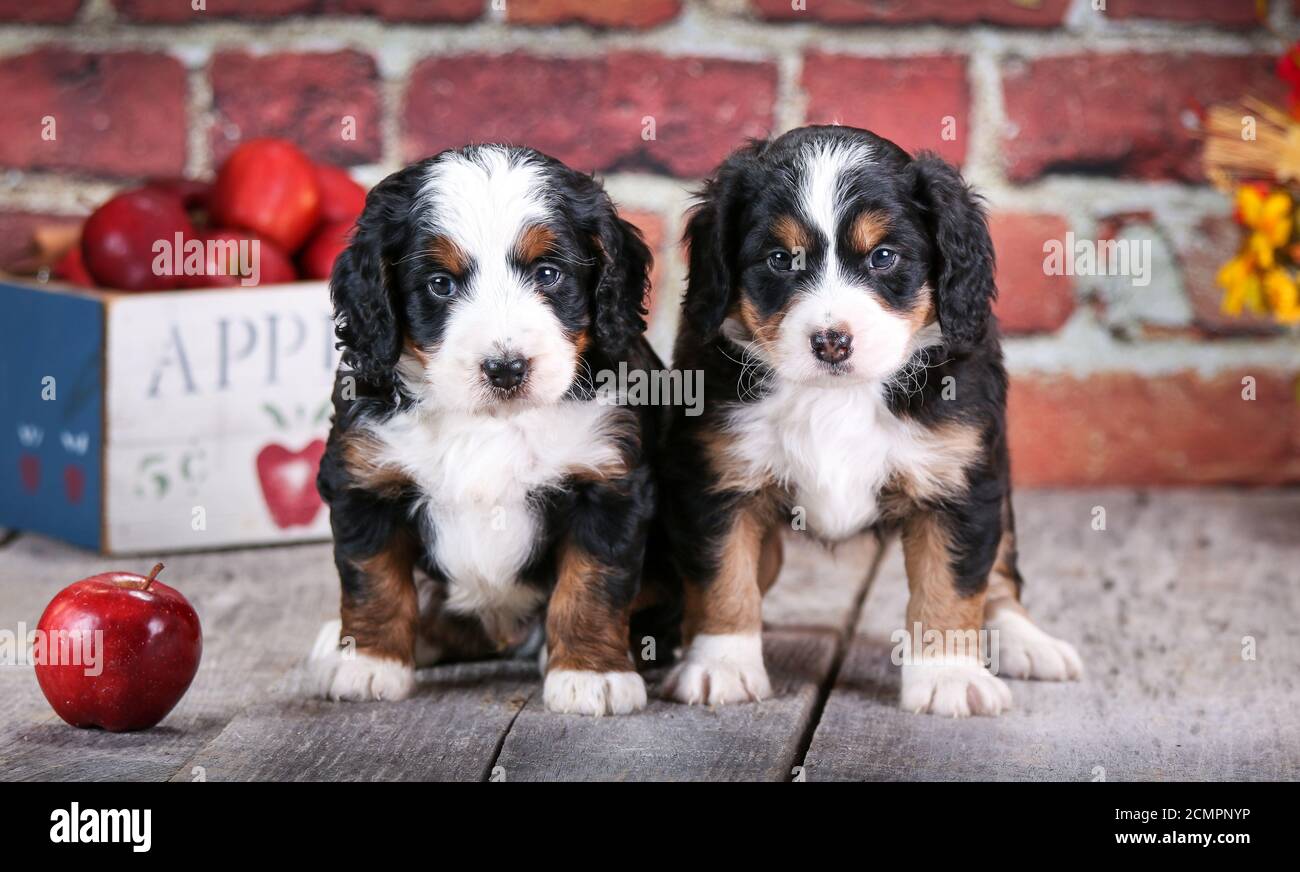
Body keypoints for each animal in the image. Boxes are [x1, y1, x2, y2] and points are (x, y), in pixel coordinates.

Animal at [309, 142, 665, 717]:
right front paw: (368, 664)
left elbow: (592, 585)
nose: (505, 368)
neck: (489, 422)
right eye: (440, 284)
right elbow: (373, 579)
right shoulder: (364, 479)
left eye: (548, 274)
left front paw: (592, 673)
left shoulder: (610, 481)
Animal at [665, 126, 1081, 717]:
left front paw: (950, 676)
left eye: (883, 257)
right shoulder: (715, 477)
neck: (838, 397)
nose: (831, 341)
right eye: (779, 259)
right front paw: (721, 665)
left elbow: (951, 584)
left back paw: (1028, 642)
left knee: (999, 572)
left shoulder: (959, 482)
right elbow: (724, 577)